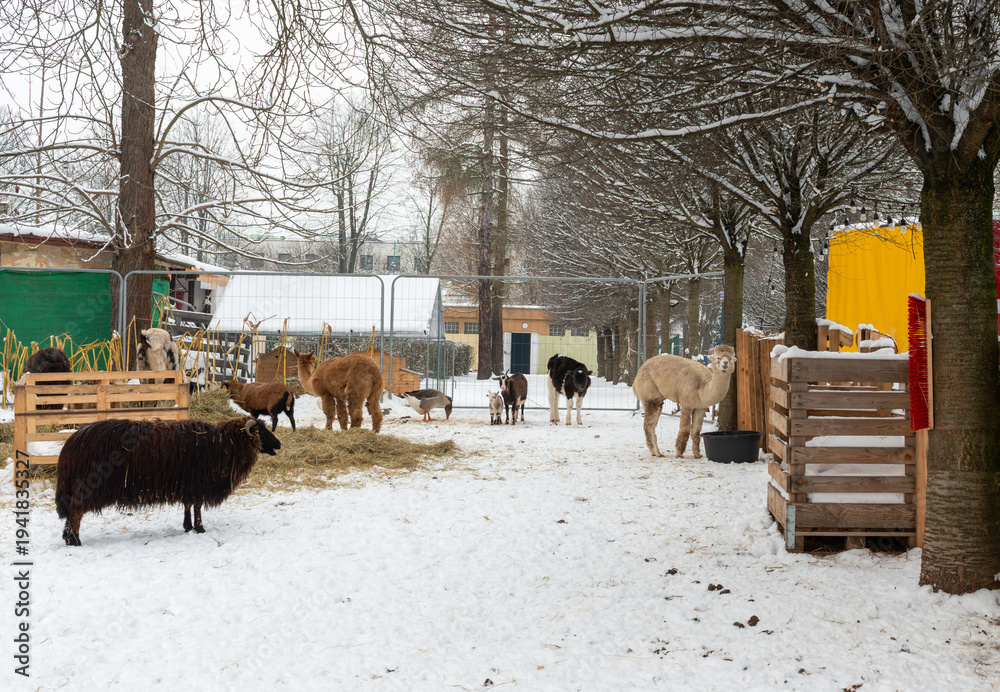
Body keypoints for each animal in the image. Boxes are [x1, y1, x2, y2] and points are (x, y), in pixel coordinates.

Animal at [55, 416, 280, 546]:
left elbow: (188, 505)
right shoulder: (199, 483)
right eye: (261, 431)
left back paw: (67, 537)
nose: (279, 444)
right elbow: (197, 506)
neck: (226, 444)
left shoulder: (189, 484)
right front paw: (200, 528)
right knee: (76, 512)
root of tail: (71, 444)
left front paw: (188, 526)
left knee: (70, 512)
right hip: (88, 486)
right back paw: (75, 540)